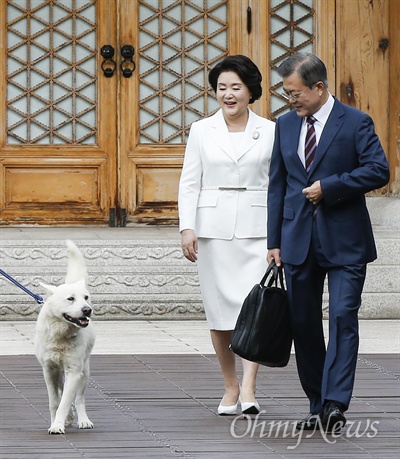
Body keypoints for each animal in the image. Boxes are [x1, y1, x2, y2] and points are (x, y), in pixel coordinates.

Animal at [34, 241, 95, 434]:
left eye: (85, 297)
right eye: (70, 299)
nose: (87, 310)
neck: (60, 335)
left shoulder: (74, 371)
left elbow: (66, 401)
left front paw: (58, 425)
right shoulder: (49, 370)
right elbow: (55, 402)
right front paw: (56, 422)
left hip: (84, 371)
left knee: (79, 398)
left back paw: (83, 420)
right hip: (61, 372)